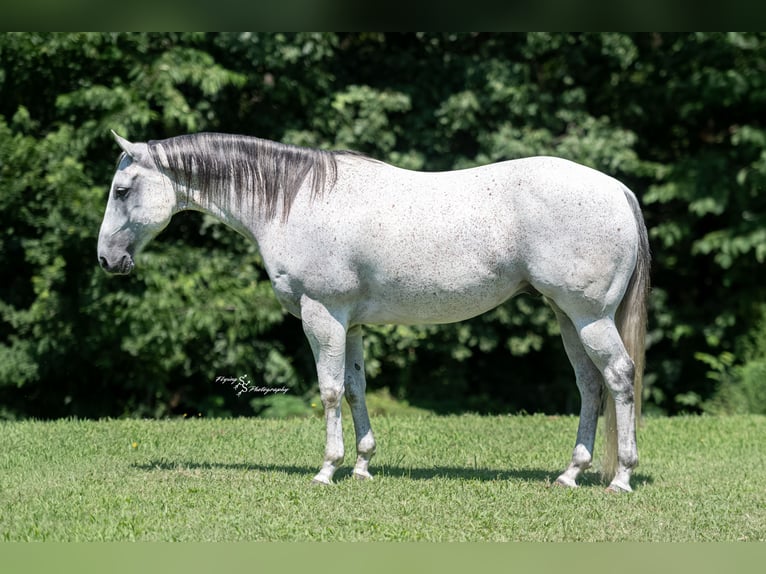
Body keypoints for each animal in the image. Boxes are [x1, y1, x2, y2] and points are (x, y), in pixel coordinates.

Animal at [97, 130, 650, 492]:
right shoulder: (353, 323)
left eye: (122, 191)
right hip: (567, 317)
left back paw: (621, 478)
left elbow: (328, 390)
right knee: (590, 385)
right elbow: (356, 388)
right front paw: (362, 467)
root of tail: (617, 189)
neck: (296, 201)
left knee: (620, 377)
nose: (107, 259)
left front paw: (327, 470)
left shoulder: (323, 314)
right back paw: (570, 474)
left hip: (589, 318)